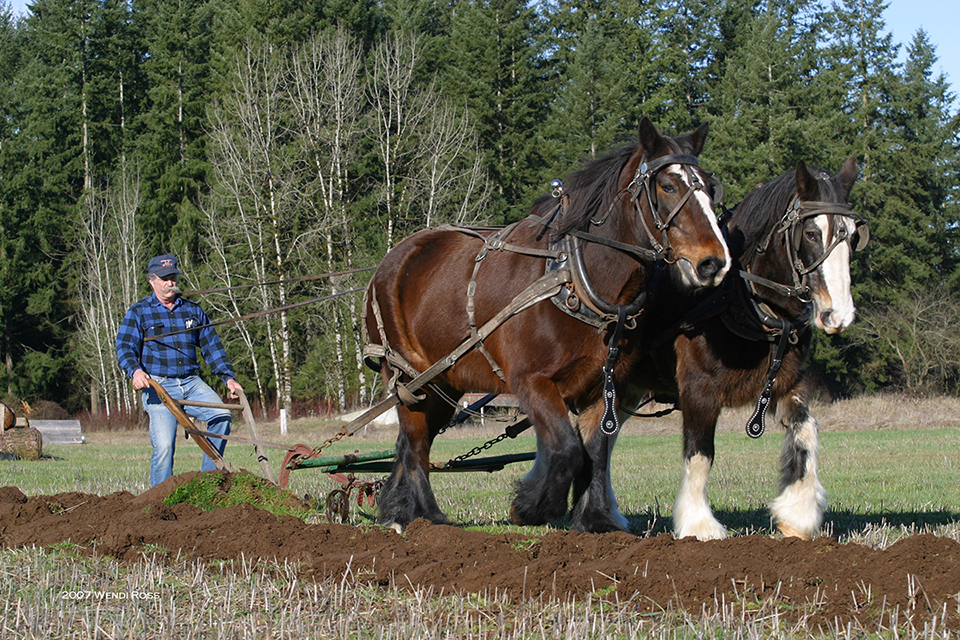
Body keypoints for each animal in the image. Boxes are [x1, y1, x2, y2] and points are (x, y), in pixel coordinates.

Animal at [364, 119, 732, 528]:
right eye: (668, 185)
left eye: (710, 187)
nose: (714, 262)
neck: (574, 277)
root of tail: (390, 261)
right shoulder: (532, 382)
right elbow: (568, 449)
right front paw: (532, 505)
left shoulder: (605, 385)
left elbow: (595, 452)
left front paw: (595, 521)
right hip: (410, 380)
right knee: (415, 445)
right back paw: (429, 517)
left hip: (445, 382)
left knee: (414, 442)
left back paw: (399, 509)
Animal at [568, 158, 868, 536]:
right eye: (812, 234)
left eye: (854, 236)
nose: (838, 314)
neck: (738, 297)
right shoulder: (699, 390)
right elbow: (700, 454)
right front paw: (699, 524)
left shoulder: (787, 384)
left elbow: (806, 431)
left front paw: (797, 515)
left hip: (627, 389)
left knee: (604, 439)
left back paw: (607, 514)